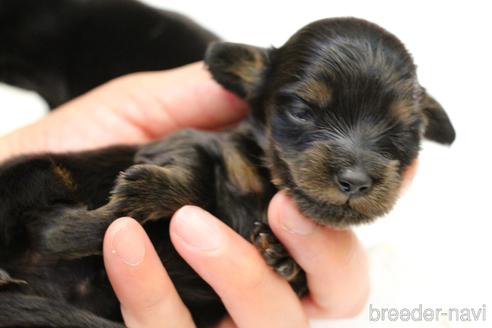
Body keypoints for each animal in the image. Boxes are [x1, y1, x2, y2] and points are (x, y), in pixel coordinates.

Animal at [0, 3, 456, 328]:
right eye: (301, 110)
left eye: (405, 130)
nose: (357, 182)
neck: (265, 185)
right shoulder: (191, 142)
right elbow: (188, 176)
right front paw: (135, 195)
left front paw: (281, 255)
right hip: (43, 173)